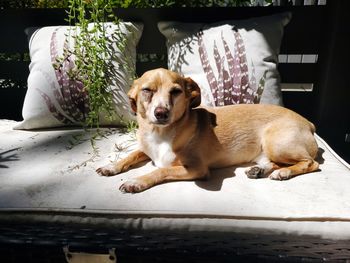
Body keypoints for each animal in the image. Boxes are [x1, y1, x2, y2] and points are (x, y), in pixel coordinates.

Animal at [96, 68, 320, 194]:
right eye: (147, 91)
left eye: (176, 91)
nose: (161, 113)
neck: (159, 134)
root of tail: (308, 122)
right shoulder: (145, 149)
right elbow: (130, 155)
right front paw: (112, 166)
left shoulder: (196, 168)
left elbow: (160, 170)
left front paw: (137, 181)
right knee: (274, 162)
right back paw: (261, 170)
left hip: (276, 143)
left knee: (311, 163)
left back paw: (284, 172)